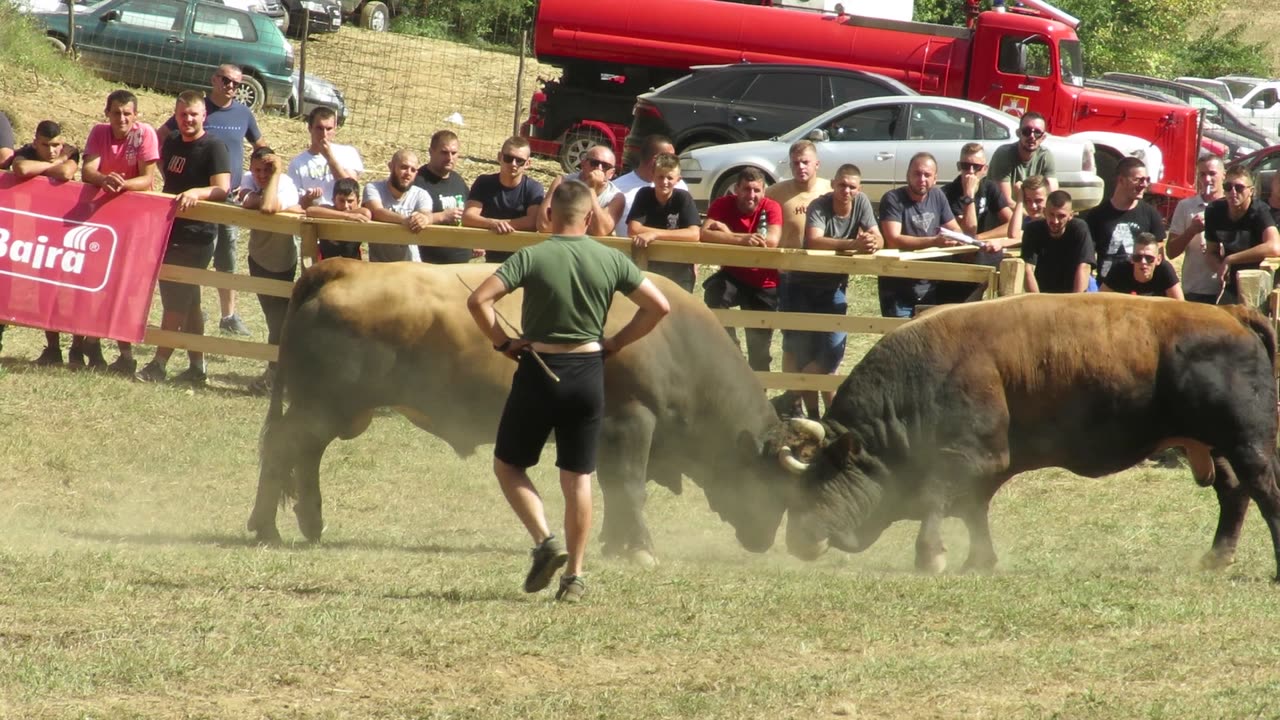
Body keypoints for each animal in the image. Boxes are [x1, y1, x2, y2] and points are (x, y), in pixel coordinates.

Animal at [768, 292, 1280, 576]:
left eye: (819, 482)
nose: (795, 540)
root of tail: (1232, 313)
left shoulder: (969, 458)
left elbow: (937, 502)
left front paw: (930, 557)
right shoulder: (987, 469)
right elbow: (974, 512)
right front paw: (979, 560)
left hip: (1247, 442)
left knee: (1264, 489)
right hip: (1217, 446)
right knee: (1233, 493)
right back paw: (1216, 557)